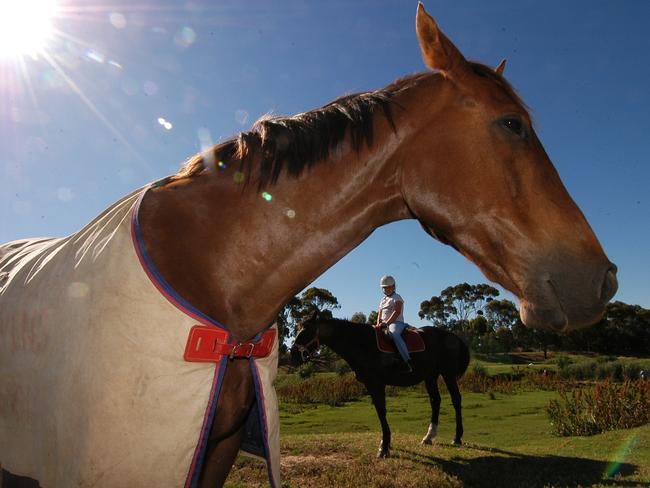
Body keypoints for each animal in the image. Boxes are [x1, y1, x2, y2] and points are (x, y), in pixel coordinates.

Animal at [292, 312, 468, 458]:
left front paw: (384, 447)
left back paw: (457, 437)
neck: (362, 344)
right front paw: (386, 443)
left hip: (448, 374)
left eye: (306, 331)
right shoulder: (370, 385)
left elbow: (381, 412)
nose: (293, 355)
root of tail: (453, 336)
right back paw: (429, 436)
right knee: (435, 401)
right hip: (430, 376)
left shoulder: (377, 384)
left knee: (456, 400)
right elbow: (379, 411)